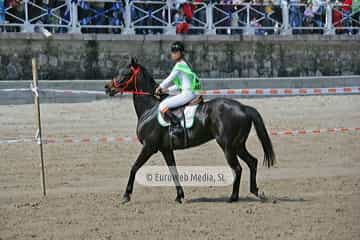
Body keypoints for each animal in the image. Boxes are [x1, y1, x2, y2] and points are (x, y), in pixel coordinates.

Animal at [105, 57, 276, 202]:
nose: (107, 87)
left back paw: (233, 197)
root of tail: (243, 108)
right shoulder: (165, 149)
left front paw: (126, 195)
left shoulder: (149, 147)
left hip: (228, 146)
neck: (150, 109)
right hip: (238, 145)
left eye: (125, 74)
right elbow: (173, 171)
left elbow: (134, 167)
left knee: (238, 168)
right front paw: (179, 196)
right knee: (252, 162)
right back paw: (255, 191)